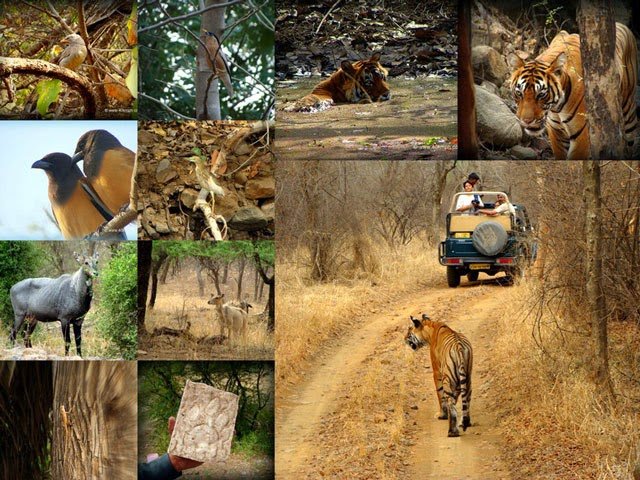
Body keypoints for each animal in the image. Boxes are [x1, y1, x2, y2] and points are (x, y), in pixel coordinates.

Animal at [508, 22, 638, 160]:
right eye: (519, 93)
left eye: (541, 94)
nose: (526, 121)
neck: (556, 108)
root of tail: (621, 24)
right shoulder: (556, 133)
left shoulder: (582, 134)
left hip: (628, 111)